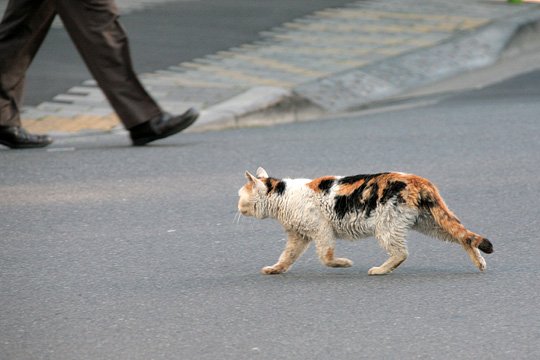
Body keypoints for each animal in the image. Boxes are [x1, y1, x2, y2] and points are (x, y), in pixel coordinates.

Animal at [238, 167, 492, 274]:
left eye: (240, 195)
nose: (237, 207)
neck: (282, 197)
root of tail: (420, 181)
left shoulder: (321, 230)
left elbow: (326, 256)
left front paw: (343, 264)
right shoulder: (297, 236)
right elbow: (287, 256)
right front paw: (275, 269)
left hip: (387, 226)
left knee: (401, 253)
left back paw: (380, 270)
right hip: (431, 223)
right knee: (463, 237)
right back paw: (479, 263)